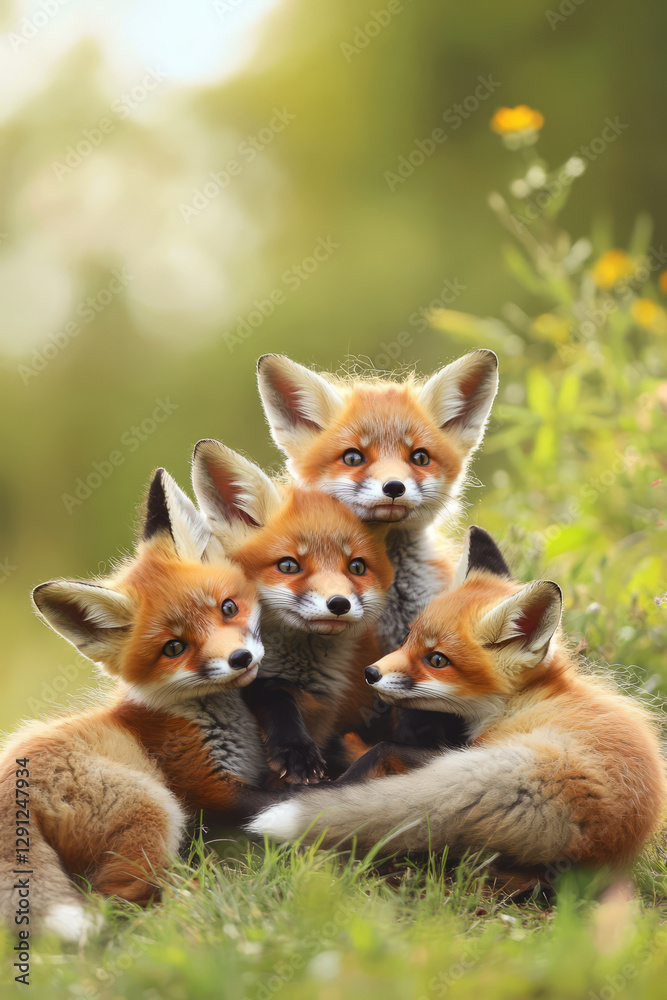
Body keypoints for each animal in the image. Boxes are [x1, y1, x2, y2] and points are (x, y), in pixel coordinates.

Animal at [0, 468, 272, 942]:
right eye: (174, 648)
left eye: (228, 608)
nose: (240, 659)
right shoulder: (208, 785)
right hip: (154, 811)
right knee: (120, 901)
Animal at [192, 438, 395, 784]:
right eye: (288, 565)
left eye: (357, 567)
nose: (339, 604)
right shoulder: (255, 679)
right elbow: (276, 697)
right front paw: (295, 749)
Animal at [248, 526, 666, 874]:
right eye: (409, 637)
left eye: (437, 661)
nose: (371, 674)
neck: (528, 698)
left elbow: (383, 749)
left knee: (381, 755)